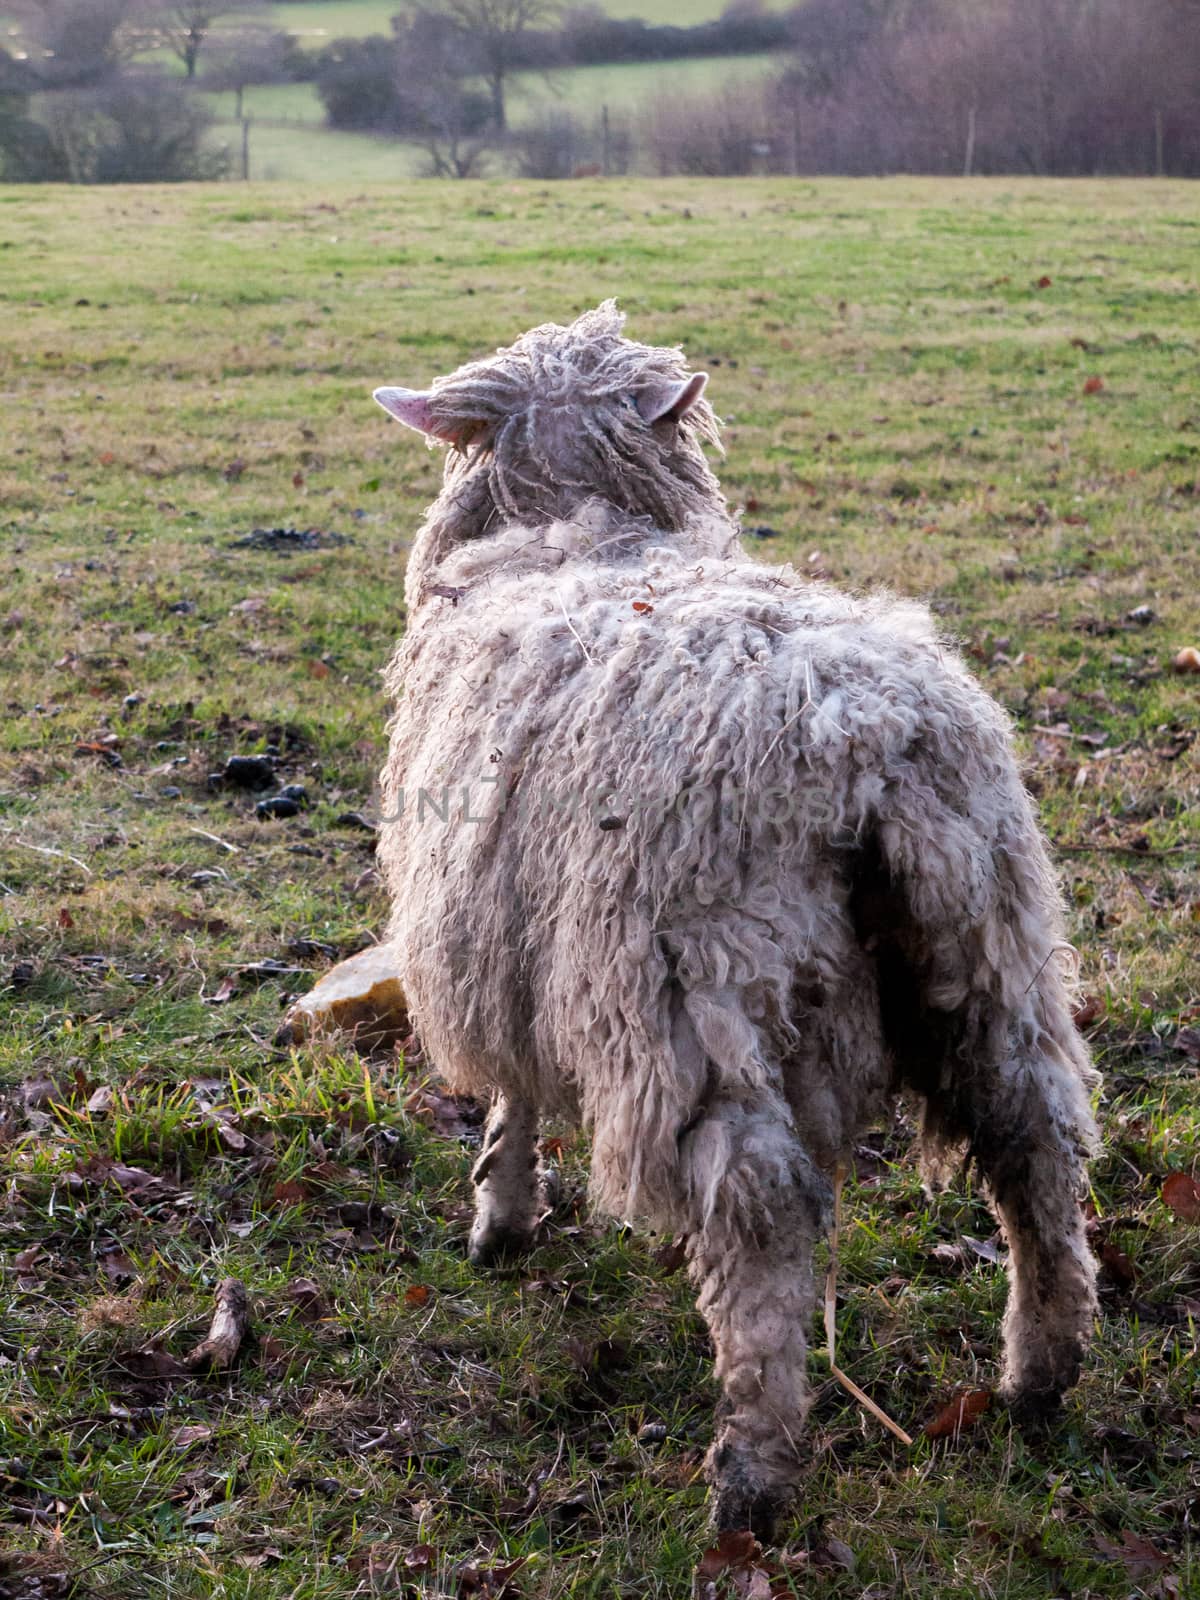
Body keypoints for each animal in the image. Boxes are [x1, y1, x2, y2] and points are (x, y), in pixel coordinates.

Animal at [374, 300, 1100, 1536]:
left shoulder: (504, 942)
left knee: (762, 1213)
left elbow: (515, 1093)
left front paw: (500, 1219)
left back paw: (750, 1473)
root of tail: (867, 739)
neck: (587, 529)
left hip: (697, 989)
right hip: (989, 947)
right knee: (1037, 1143)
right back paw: (1038, 1376)